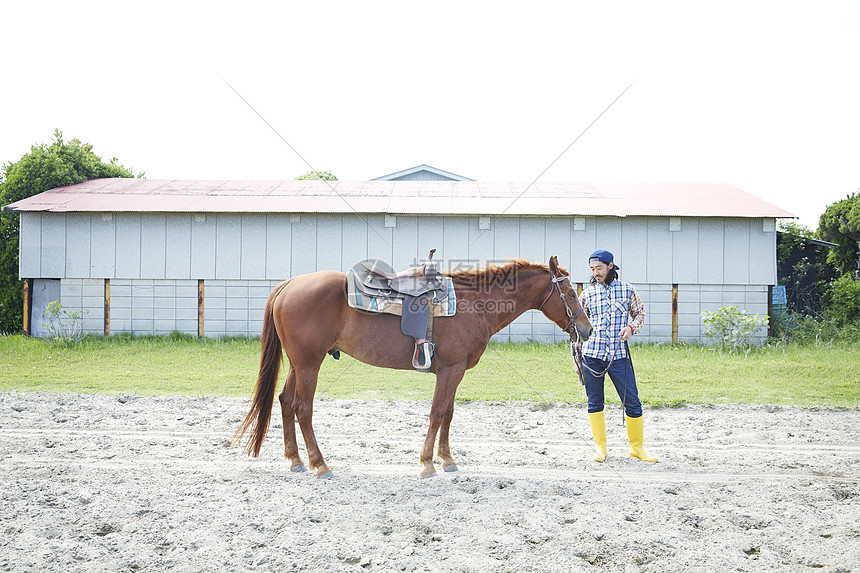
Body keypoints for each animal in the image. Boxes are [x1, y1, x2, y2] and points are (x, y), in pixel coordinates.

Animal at [232, 256, 596, 476]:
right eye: (568, 292)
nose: (587, 329)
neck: (474, 304)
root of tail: (288, 285)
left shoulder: (455, 371)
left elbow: (448, 413)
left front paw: (447, 459)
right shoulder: (450, 370)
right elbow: (437, 413)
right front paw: (426, 463)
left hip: (299, 363)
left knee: (285, 402)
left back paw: (295, 460)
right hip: (310, 363)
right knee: (302, 407)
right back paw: (320, 464)